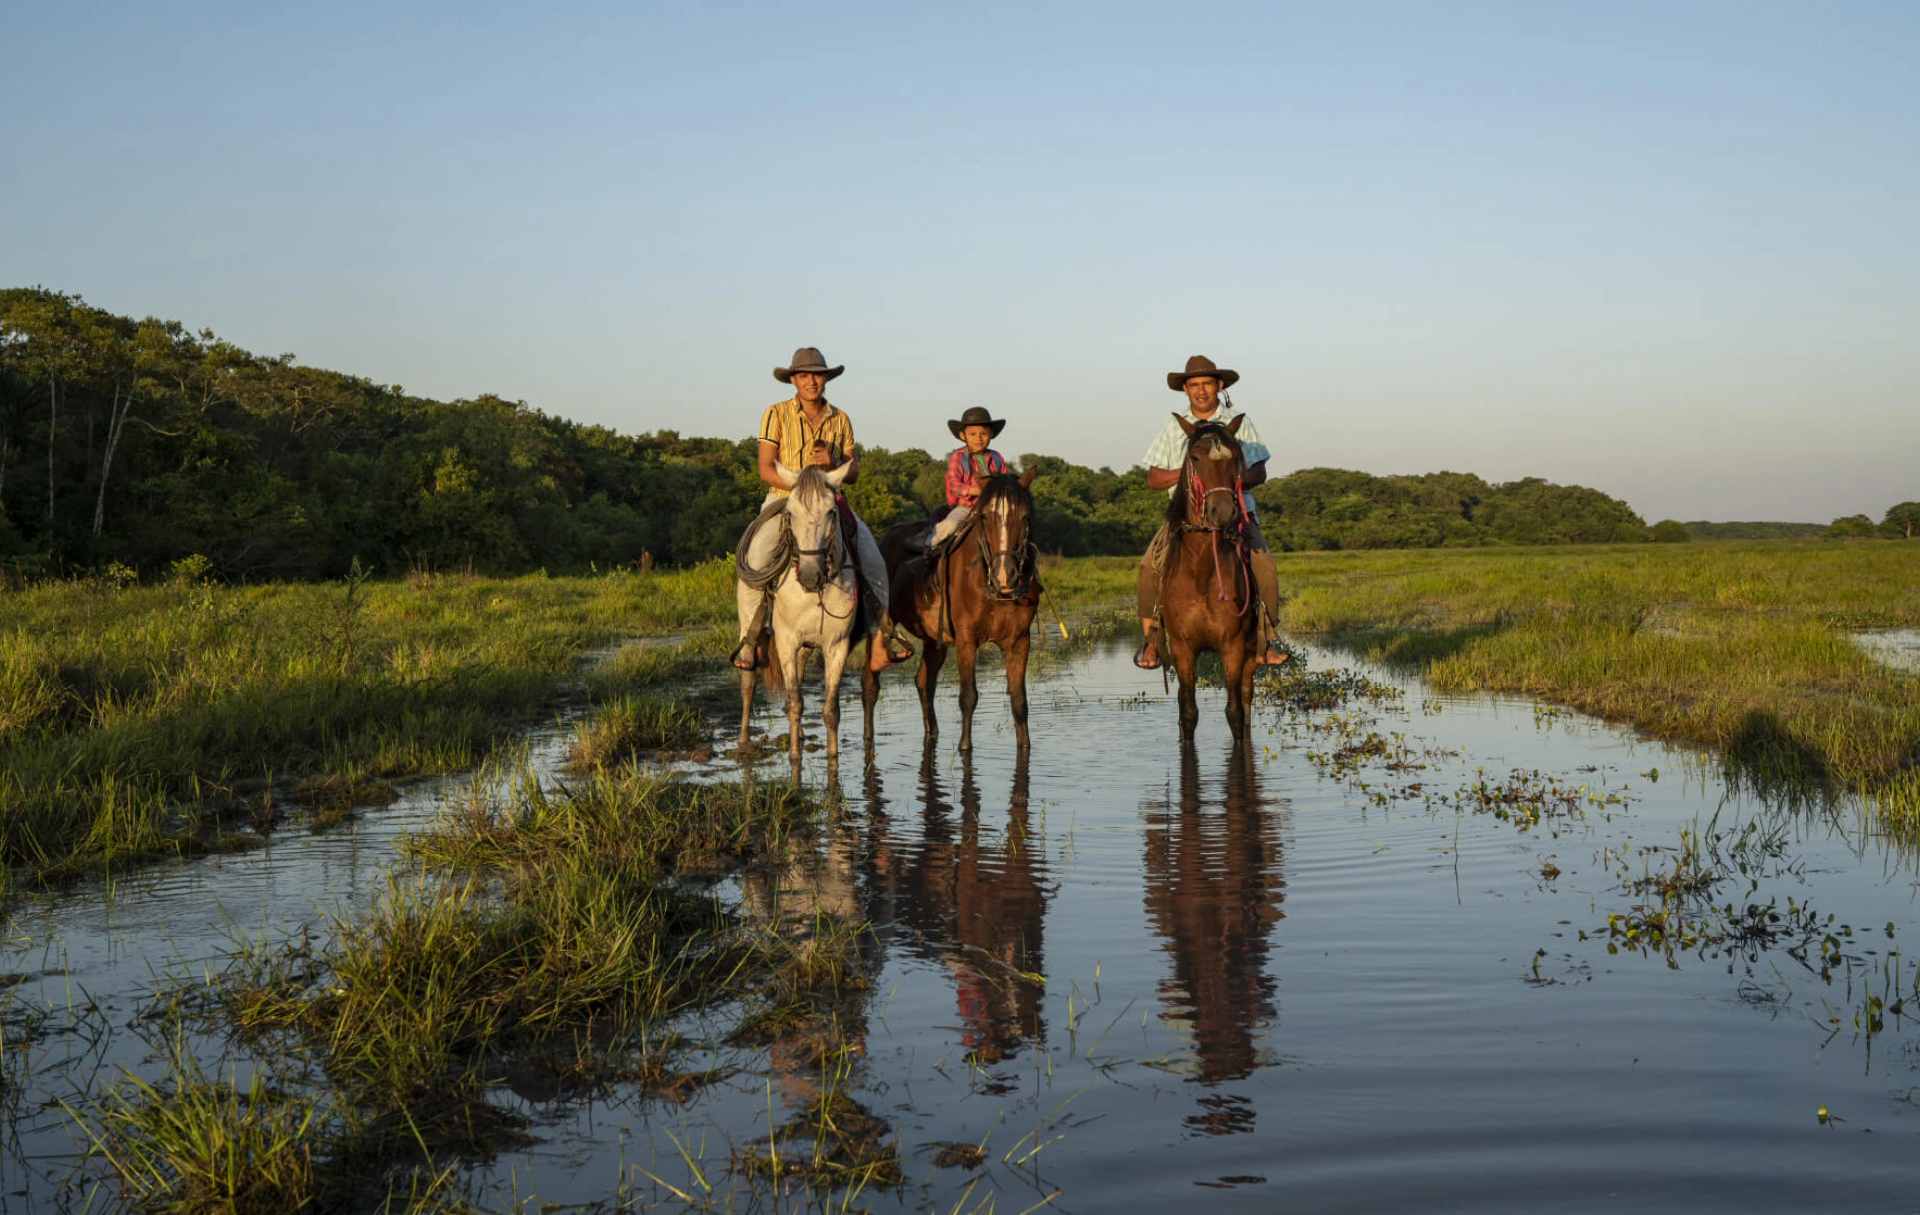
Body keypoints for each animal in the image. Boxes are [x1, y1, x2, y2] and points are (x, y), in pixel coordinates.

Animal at [733, 464, 856, 760]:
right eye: (790, 514)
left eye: (831, 511)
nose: (811, 575)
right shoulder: (786, 641)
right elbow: (794, 703)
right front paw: (794, 757)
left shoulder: (837, 645)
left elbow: (830, 710)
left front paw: (833, 759)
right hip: (750, 624)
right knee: (748, 678)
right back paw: (744, 741)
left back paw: (798, 734)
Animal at [871, 472, 1044, 748]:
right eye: (985, 517)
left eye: (1025, 517)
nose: (1004, 576)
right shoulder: (966, 641)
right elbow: (968, 697)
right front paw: (964, 747)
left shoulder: (1019, 642)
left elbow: (1019, 702)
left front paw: (1025, 746)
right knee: (870, 685)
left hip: (934, 641)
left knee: (924, 682)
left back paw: (931, 733)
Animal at [1144, 416, 1267, 740]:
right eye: (1195, 458)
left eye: (1235, 457)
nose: (1221, 511)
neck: (1201, 570)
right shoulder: (1183, 648)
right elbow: (1188, 713)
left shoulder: (1233, 647)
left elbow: (1235, 713)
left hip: (1252, 653)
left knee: (1246, 700)